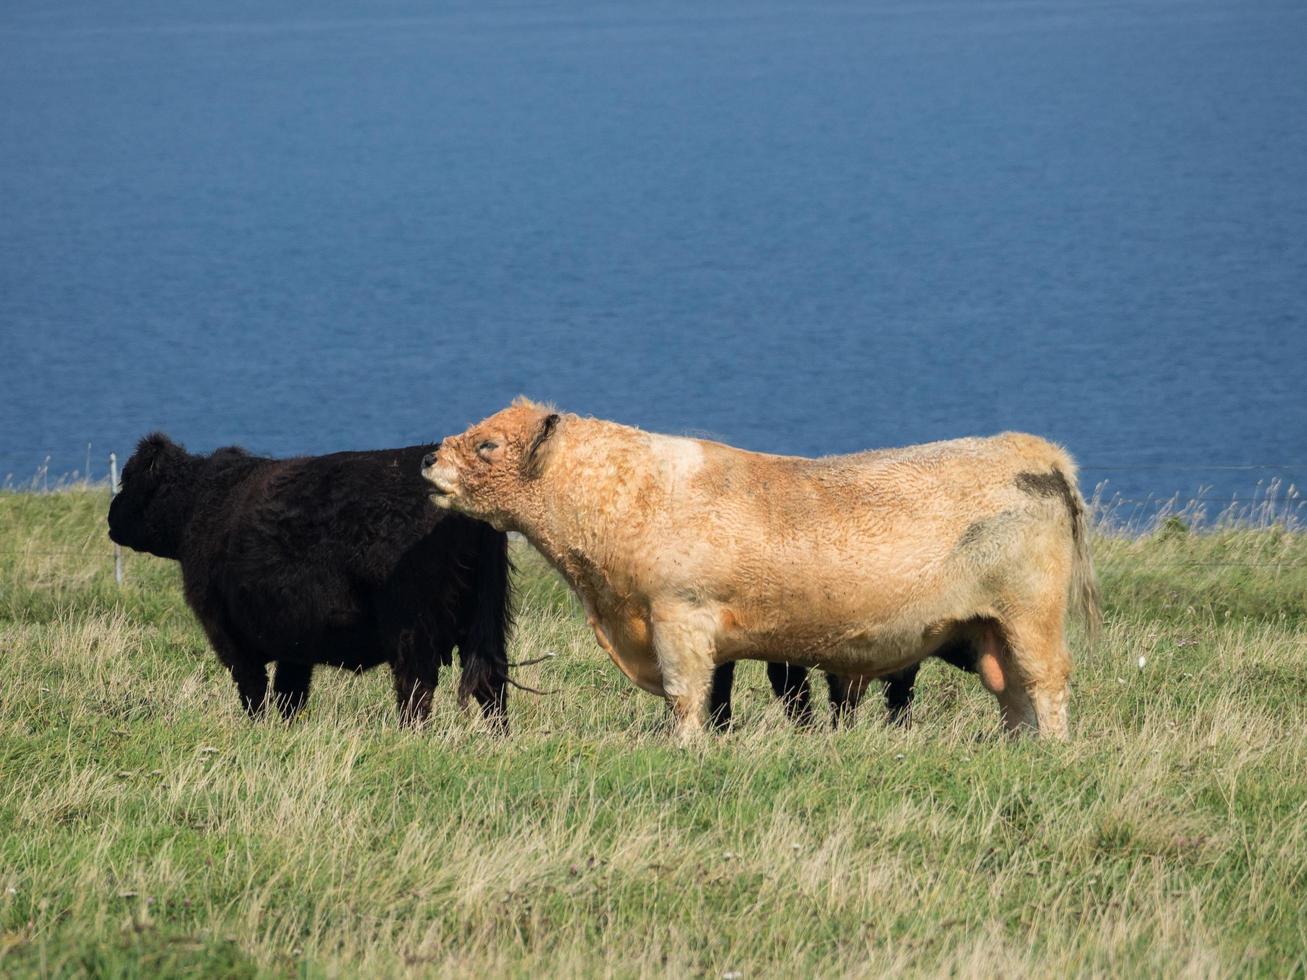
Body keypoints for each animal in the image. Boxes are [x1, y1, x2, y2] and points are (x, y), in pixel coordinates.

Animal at [105, 436, 509, 731]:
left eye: (128, 480)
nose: (110, 516)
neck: (201, 503)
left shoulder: (228, 632)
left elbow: (254, 690)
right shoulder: (292, 640)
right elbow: (290, 693)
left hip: (412, 629)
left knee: (417, 688)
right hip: (484, 624)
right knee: (492, 684)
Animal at [423, 402, 1097, 742]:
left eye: (488, 445)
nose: (428, 458)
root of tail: (1034, 450)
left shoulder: (679, 616)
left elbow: (686, 695)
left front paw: (687, 748)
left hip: (1031, 616)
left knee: (1045, 683)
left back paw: (1054, 750)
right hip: (989, 629)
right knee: (1012, 693)